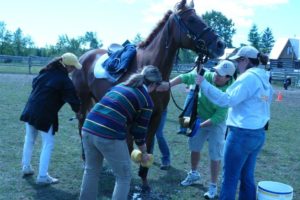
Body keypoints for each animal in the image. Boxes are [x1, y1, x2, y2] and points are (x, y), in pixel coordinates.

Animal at [72, 0, 225, 191]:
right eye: (191, 19)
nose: (220, 45)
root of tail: (84, 56)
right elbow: (129, 147)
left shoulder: (156, 116)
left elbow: (150, 145)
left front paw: (144, 180)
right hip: (83, 100)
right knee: (81, 124)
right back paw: (85, 157)